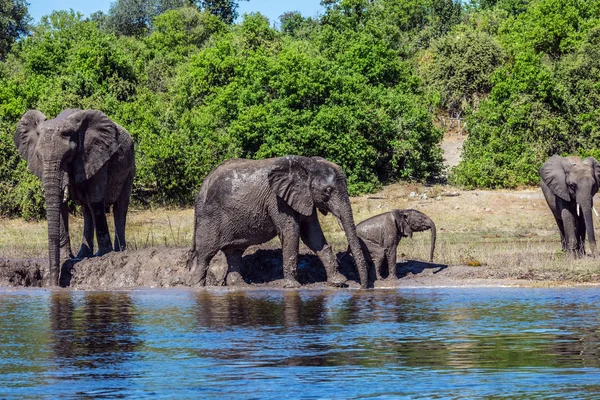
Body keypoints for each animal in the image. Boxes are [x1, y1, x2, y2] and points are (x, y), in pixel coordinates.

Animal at [13, 108, 136, 286]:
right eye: (38, 157)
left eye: (68, 156)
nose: (55, 285)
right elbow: (62, 206)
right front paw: (67, 258)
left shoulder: (95, 155)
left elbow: (96, 199)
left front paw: (105, 255)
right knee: (87, 210)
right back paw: (83, 255)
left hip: (130, 165)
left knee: (119, 207)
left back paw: (118, 251)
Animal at [188, 155, 370, 290]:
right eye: (328, 191)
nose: (362, 288)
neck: (307, 165)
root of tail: (203, 185)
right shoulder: (278, 200)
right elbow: (292, 232)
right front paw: (293, 286)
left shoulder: (304, 198)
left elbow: (313, 235)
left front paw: (338, 283)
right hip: (210, 215)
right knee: (206, 253)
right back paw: (197, 287)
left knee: (234, 252)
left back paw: (240, 286)